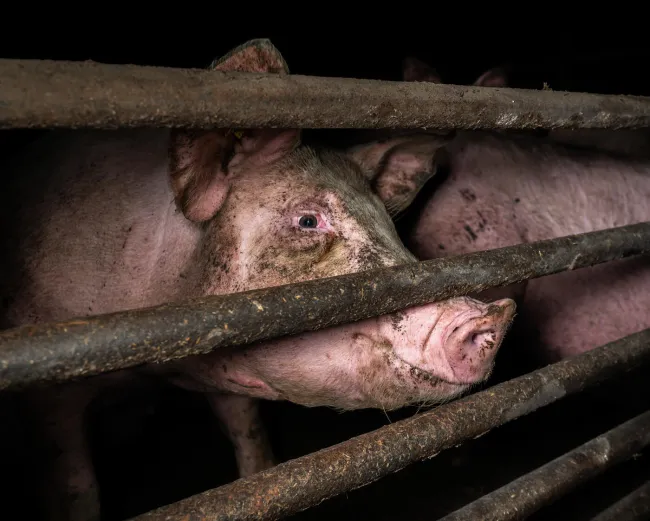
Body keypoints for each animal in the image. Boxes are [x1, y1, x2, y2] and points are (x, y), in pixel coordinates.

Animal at [0, 39, 516, 521]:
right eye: (307, 221)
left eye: (389, 225)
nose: (495, 315)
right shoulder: (48, 394)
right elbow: (77, 489)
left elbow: (254, 448)